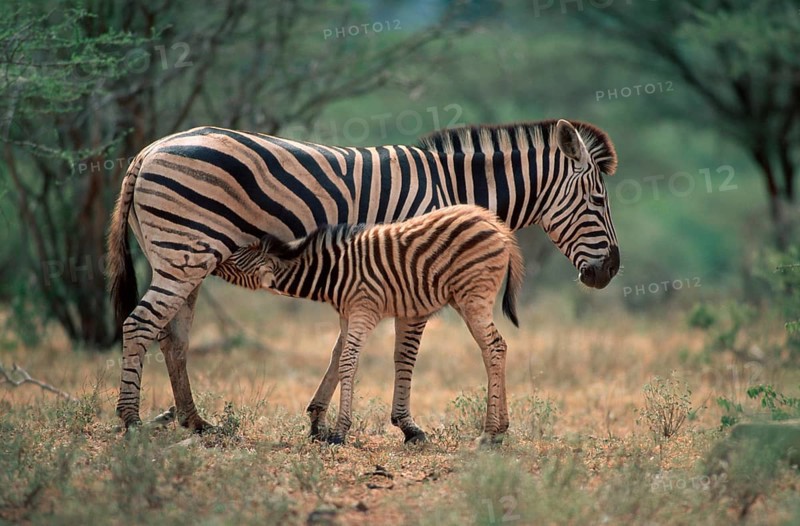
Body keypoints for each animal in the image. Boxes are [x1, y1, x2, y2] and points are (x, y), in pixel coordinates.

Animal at [226, 204, 524, 444]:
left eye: (236, 261)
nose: (218, 256)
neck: (333, 272)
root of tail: (496, 225)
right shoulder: (347, 314)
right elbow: (338, 358)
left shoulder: (364, 309)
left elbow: (348, 361)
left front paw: (338, 432)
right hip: (465, 300)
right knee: (496, 348)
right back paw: (500, 429)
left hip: (474, 296)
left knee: (494, 347)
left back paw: (488, 433)